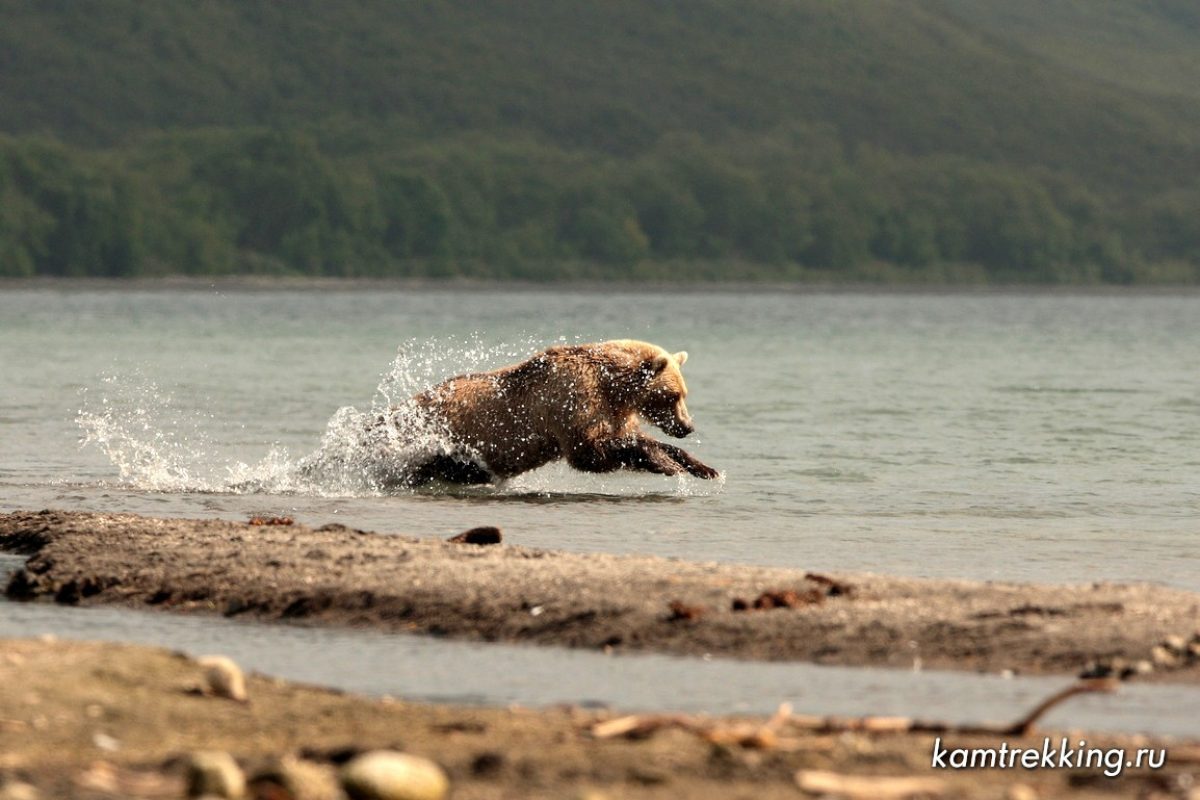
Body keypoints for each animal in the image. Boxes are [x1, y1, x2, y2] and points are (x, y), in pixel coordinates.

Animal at [388, 340, 715, 489]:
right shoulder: (573, 404)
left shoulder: (613, 412)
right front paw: (666, 465)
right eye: (672, 396)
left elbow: (631, 438)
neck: (612, 387)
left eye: (684, 395)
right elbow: (591, 451)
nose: (687, 426)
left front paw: (702, 467)